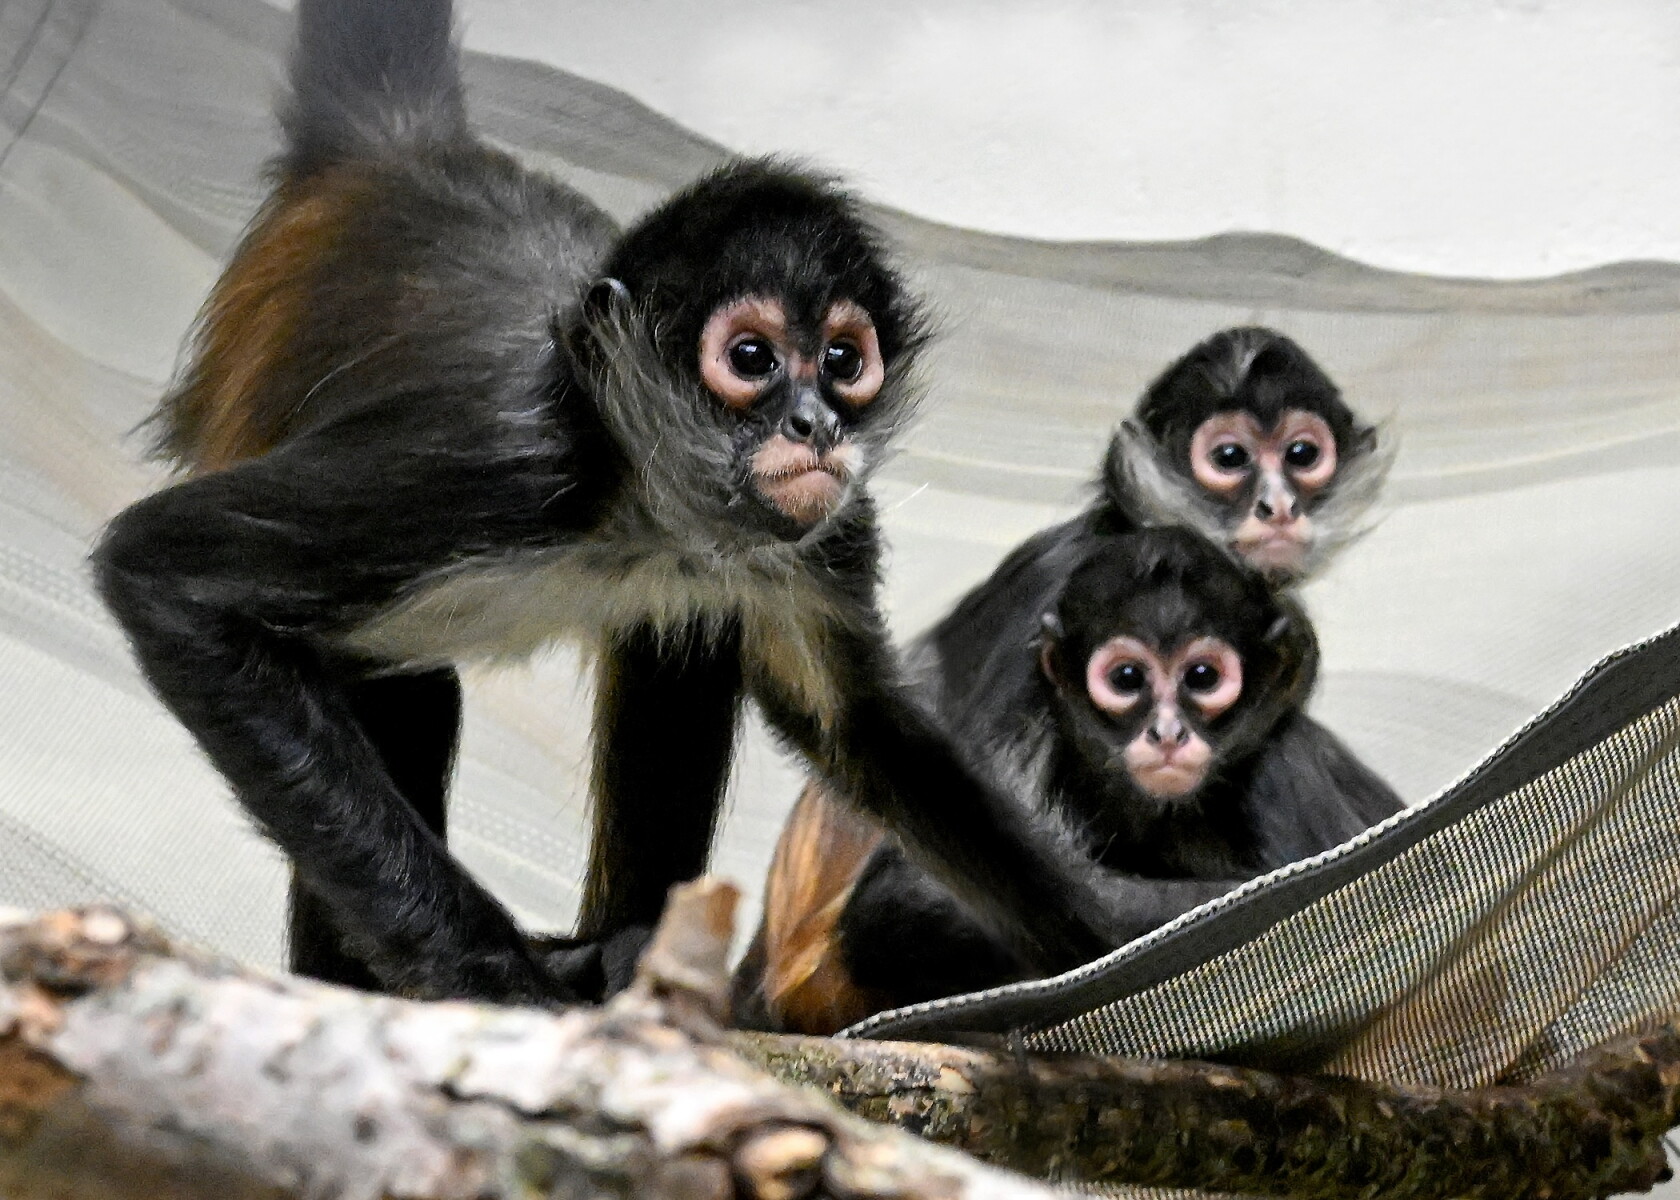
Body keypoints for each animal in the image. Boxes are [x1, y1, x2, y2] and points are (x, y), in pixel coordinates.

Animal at [92, 0, 1225, 1006]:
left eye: (844, 360)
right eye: (752, 359)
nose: (815, 425)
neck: (638, 499)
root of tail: (397, 161)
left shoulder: (823, 527)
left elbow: (858, 726)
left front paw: (1125, 941)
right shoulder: (502, 461)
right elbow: (164, 576)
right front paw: (494, 983)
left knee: (681, 632)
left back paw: (626, 948)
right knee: (406, 691)